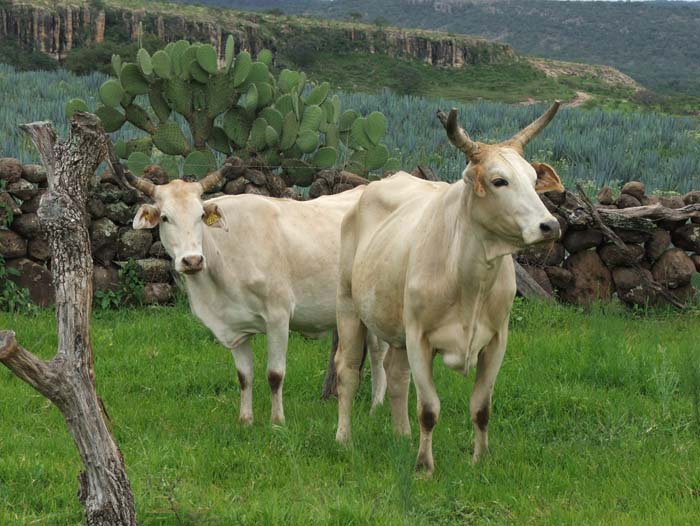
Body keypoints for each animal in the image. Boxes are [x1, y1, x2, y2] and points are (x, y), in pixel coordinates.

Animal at [126, 170, 388, 425]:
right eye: (165, 218)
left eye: (200, 216)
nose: (192, 260)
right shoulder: (235, 325)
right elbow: (244, 377)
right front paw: (246, 420)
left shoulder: (278, 317)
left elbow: (275, 374)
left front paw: (277, 421)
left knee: (378, 356)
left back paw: (376, 407)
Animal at [334, 102, 564, 474]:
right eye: (499, 181)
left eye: (533, 180)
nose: (550, 226)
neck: (471, 279)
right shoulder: (420, 339)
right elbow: (428, 409)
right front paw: (425, 467)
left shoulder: (497, 341)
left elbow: (481, 408)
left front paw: (479, 459)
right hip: (349, 308)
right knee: (347, 371)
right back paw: (344, 438)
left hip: (397, 327)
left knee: (396, 376)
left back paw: (402, 436)